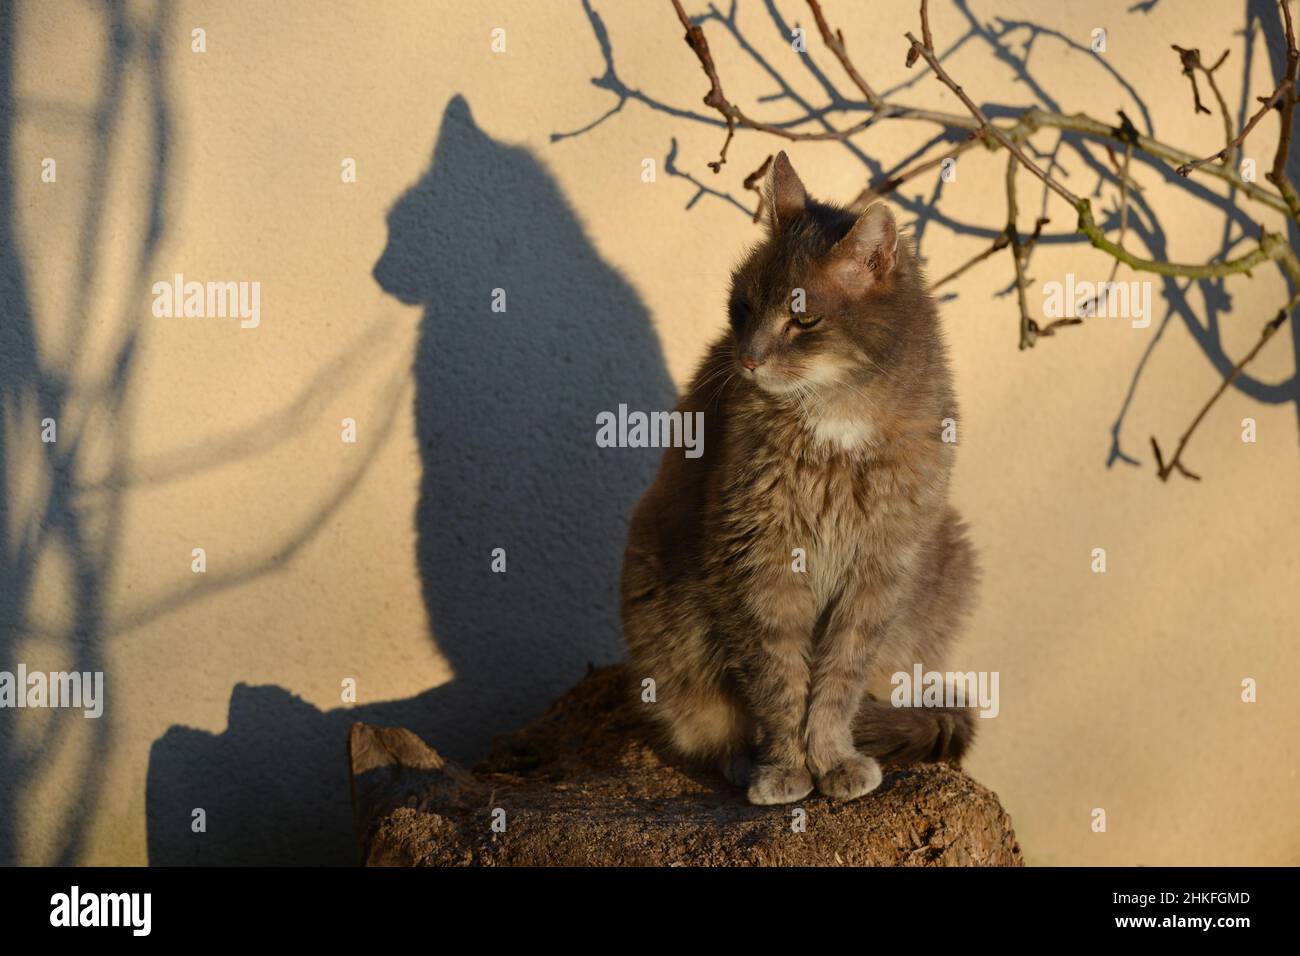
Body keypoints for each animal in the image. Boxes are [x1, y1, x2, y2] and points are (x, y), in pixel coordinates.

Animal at [618, 151, 977, 806]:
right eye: (742, 306)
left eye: (803, 317)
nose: (748, 358)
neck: (837, 417)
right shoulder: (757, 561)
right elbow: (777, 676)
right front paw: (787, 765)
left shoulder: (878, 569)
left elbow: (838, 678)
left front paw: (832, 757)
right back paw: (741, 761)